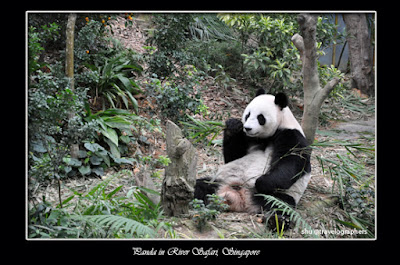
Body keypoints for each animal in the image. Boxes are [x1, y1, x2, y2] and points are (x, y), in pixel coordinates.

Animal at [195, 88, 312, 225]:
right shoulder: (248, 138)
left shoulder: (291, 135)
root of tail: (241, 199)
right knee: (200, 185)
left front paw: (262, 182)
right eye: (248, 115)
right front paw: (233, 126)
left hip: (275, 196)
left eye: (260, 117)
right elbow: (233, 156)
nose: (248, 128)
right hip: (219, 181)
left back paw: (276, 220)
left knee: (282, 205)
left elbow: (292, 163)